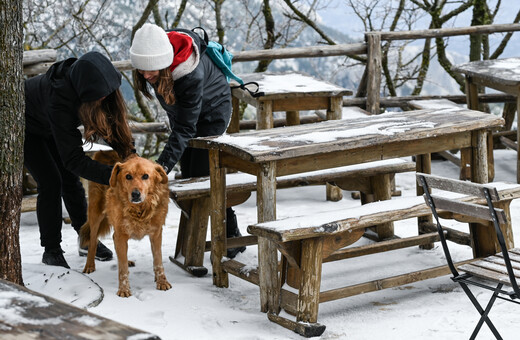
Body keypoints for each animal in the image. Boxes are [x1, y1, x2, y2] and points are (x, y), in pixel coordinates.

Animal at [79, 150, 172, 296]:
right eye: (128, 176)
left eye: (145, 176)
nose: (135, 194)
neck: (139, 210)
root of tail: (104, 151)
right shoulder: (121, 234)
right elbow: (122, 269)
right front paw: (124, 289)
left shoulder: (156, 234)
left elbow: (158, 262)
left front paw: (162, 281)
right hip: (95, 216)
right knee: (93, 242)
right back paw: (89, 265)